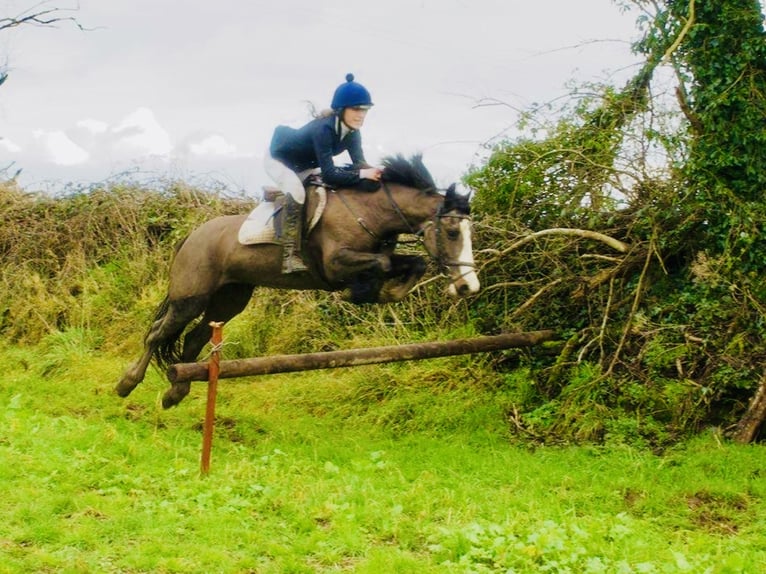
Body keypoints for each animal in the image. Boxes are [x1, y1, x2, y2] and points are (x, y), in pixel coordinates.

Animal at [115, 154, 480, 408]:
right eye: (451, 232)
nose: (468, 287)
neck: (369, 212)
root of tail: (192, 235)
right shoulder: (335, 264)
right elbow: (384, 262)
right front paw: (368, 292)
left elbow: (413, 261)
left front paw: (386, 291)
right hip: (191, 297)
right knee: (157, 333)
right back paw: (127, 384)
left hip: (229, 299)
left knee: (193, 340)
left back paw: (175, 393)